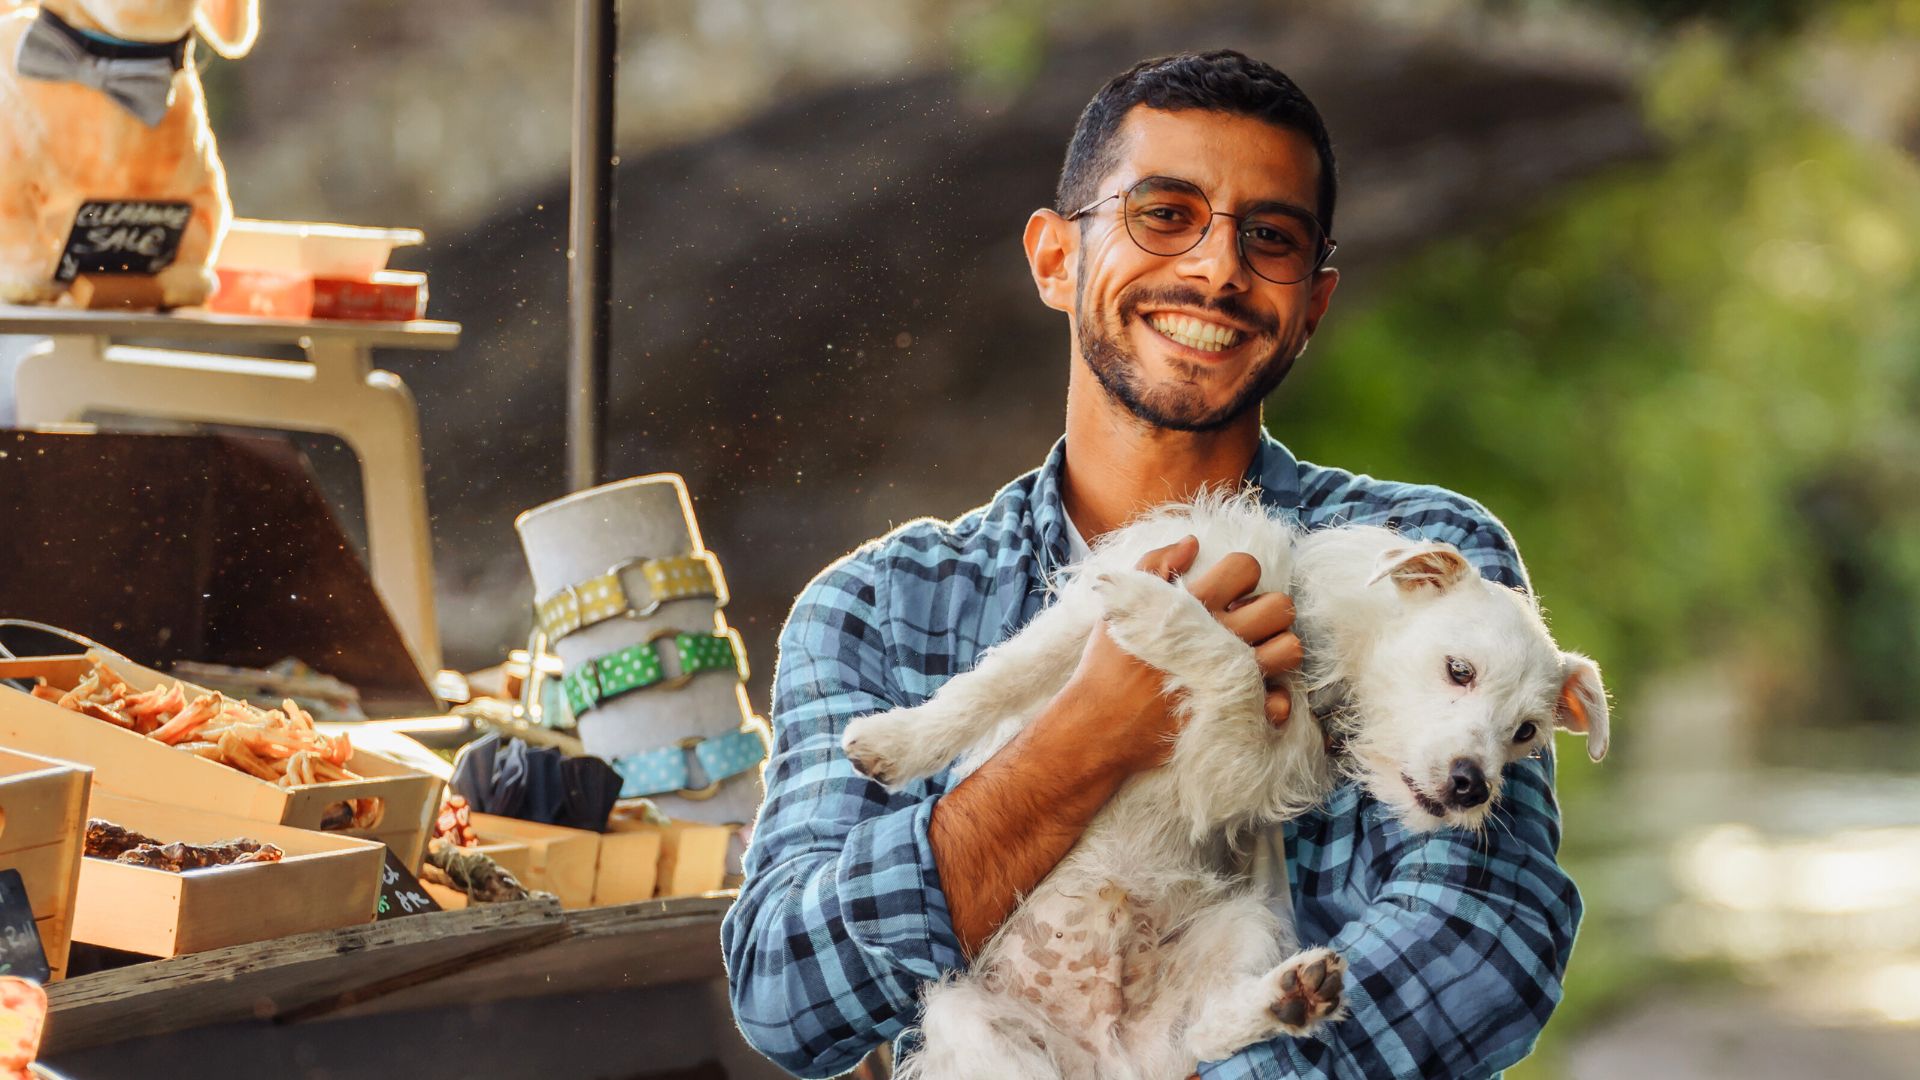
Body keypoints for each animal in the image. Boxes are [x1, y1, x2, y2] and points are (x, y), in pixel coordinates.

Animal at [840, 488, 1605, 1076]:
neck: (1315, 652)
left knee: (1204, 1036)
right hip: (966, 1021)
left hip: (1243, 923)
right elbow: (995, 681)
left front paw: (1160, 615)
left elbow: (1233, 667)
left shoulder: (1240, 767)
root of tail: (1111, 1060)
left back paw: (1288, 998)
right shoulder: (1094, 617)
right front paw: (895, 741)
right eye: (1459, 670)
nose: (1474, 785)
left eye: (1526, 733)